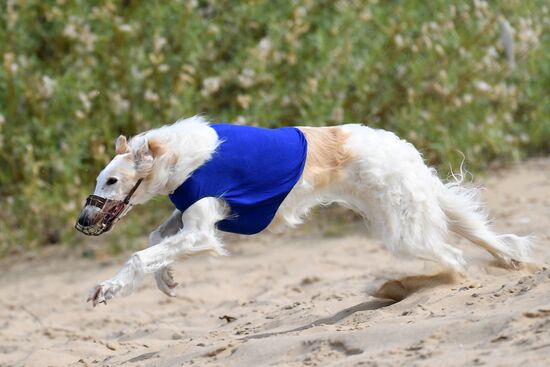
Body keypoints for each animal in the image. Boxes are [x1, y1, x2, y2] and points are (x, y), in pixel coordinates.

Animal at [75, 116, 532, 306]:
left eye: (111, 181)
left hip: (402, 229)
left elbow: (140, 254)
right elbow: (155, 240)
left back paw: (400, 287)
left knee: (454, 259)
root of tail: (402, 149)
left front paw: (107, 288)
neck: (178, 155)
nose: (82, 222)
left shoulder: (203, 228)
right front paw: (167, 279)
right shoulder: (189, 215)